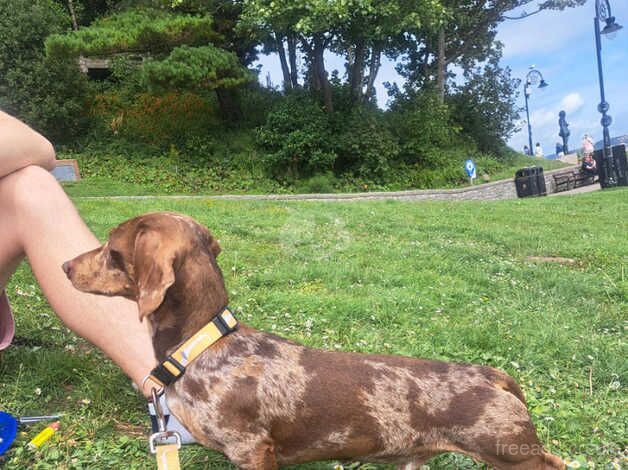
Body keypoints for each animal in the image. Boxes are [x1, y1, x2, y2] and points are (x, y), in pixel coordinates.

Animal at [62, 214, 564, 470]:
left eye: (112, 250)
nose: (65, 266)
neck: (202, 346)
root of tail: (492, 375)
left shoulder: (252, 451)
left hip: (511, 454)